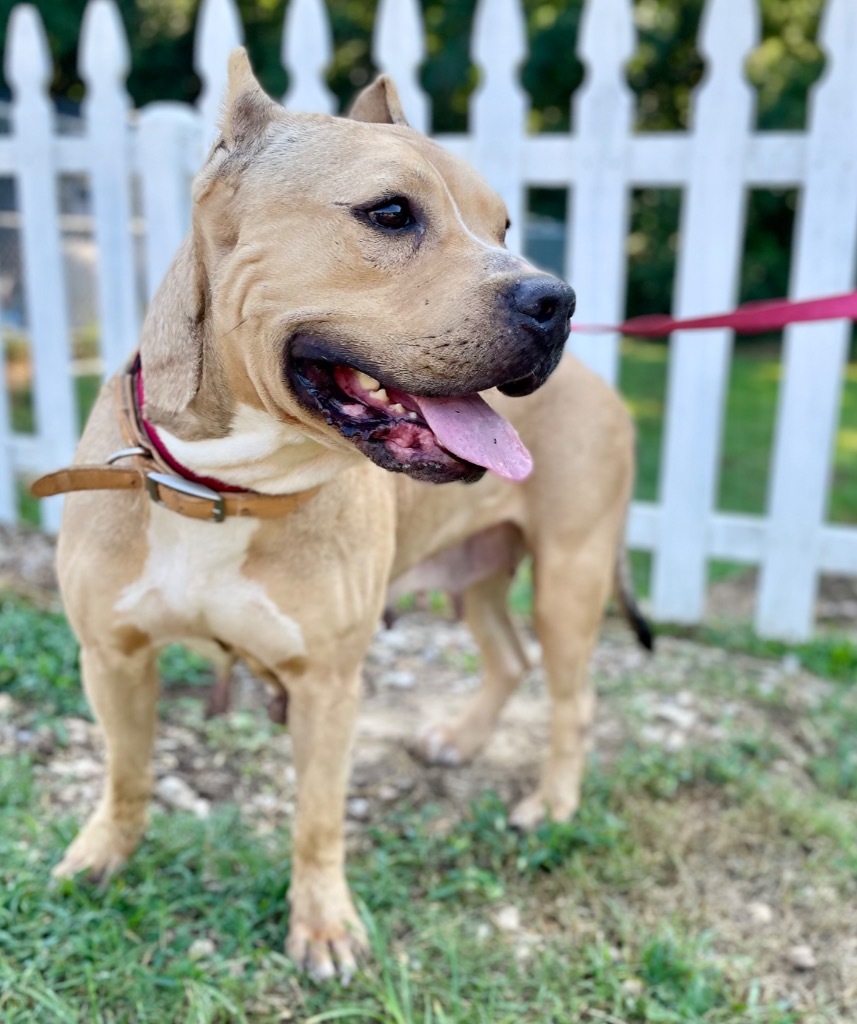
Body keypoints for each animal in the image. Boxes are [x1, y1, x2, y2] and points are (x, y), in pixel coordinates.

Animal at [43, 51, 647, 978]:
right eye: (390, 213)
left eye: (503, 225)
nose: (557, 301)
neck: (223, 488)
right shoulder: (113, 654)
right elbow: (126, 769)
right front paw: (104, 852)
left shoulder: (326, 687)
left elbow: (318, 817)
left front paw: (323, 924)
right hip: (477, 574)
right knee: (508, 657)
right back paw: (460, 739)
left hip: (569, 578)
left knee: (570, 701)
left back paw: (548, 803)